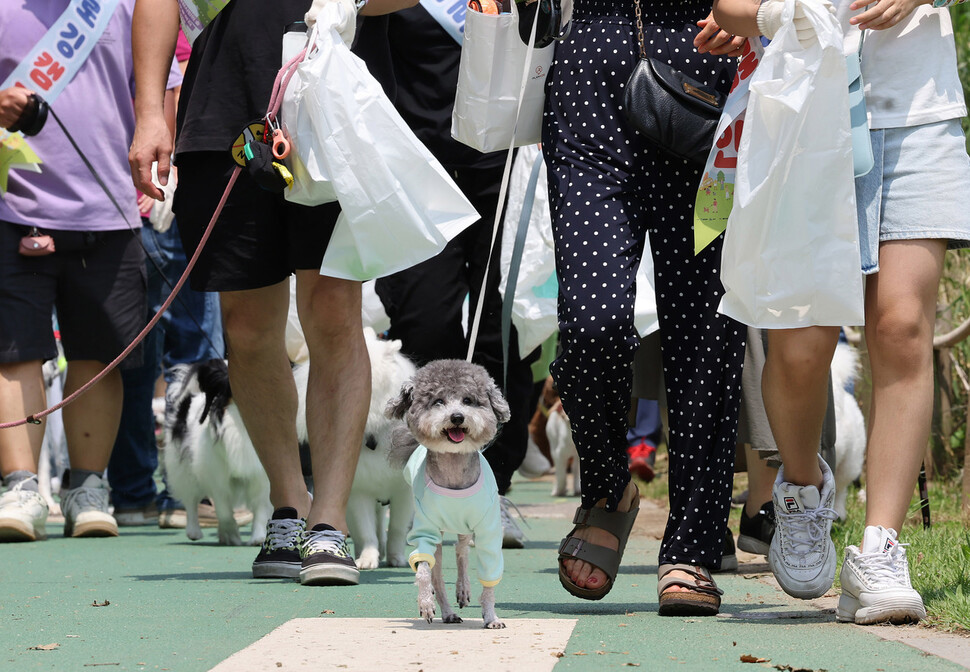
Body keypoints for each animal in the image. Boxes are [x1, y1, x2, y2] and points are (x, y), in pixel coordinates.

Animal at [161, 362, 270, 544]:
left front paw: (258, 538)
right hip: (185, 472)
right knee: (191, 502)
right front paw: (231, 535)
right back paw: (194, 531)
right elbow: (224, 510)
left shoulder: (260, 478)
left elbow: (260, 507)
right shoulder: (217, 479)